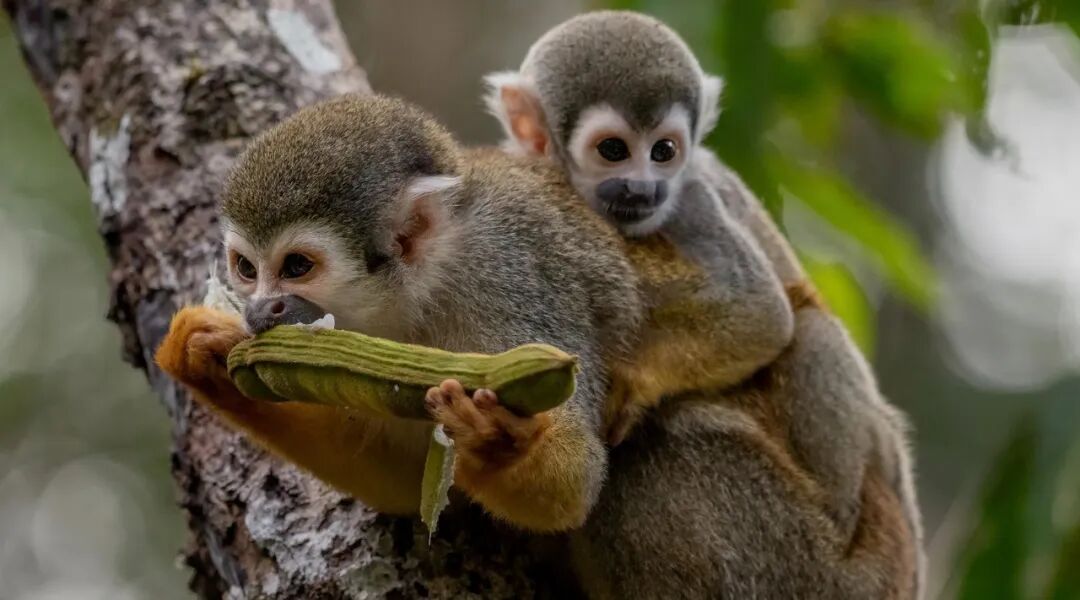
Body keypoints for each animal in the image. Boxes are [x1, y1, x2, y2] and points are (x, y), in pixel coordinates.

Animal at [483, 10, 925, 596]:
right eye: (613, 151)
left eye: (664, 152)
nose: (644, 190)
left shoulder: (692, 201)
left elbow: (761, 313)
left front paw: (635, 384)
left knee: (809, 329)